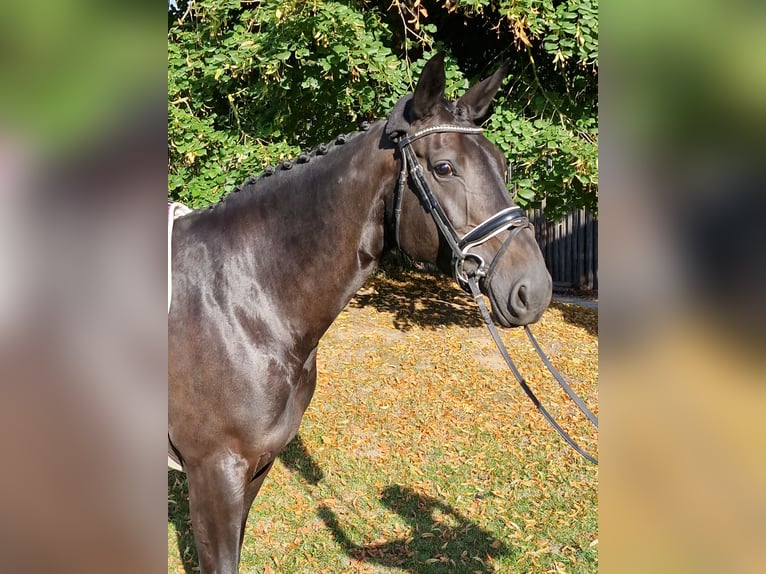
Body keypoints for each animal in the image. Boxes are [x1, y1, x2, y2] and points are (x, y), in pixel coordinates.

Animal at [170, 53, 552, 572]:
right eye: (445, 167)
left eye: (503, 164)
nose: (534, 289)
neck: (242, 301)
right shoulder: (213, 473)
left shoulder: (255, 468)